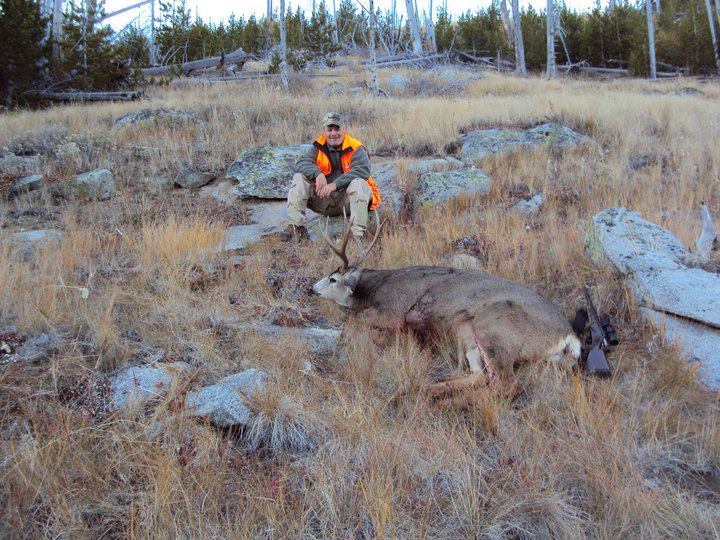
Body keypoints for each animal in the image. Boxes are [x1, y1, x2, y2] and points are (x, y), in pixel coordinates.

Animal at [312, 216, 584, 396]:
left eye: (333, 279)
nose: (311, 288)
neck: (375, 287)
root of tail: (570, 336)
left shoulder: (393, 311)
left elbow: (353, 319)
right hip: (470, 338)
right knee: (481, 376)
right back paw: (427, 390)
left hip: (494, 326)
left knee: (504, 383)